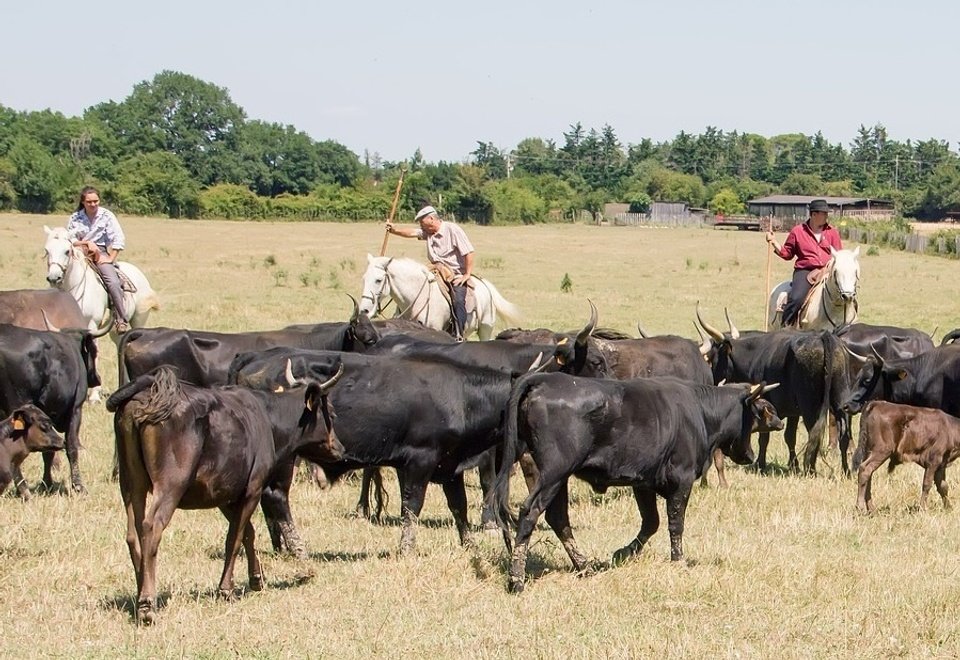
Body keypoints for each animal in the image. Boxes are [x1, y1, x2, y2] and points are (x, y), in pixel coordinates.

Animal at [0, 320, 105, 496]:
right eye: (94, 351)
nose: (97, 379)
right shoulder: (75, 410)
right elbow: (71, 446)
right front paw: (78, 486)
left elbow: (48, 451)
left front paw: (47, 483)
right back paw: (23, 489)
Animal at [360, 254, 520, 340]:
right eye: (364, 278)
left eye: (378, 280)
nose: (364, 310)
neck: (417, 298)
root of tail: (483, 283)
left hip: (485, 328)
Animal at [492, 374, 784, 596]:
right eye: (762, 409)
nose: (779, 422)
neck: (700, 411)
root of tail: (544, 379)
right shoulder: (681, 480)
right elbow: (675, 524)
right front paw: (679, 560)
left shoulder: (643, 482)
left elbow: (651, 522)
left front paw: (624, 553)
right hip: (553, 472)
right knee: (530, 513)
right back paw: (517, 580)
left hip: (554, 476)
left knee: (558, 517)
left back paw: (584, 566)